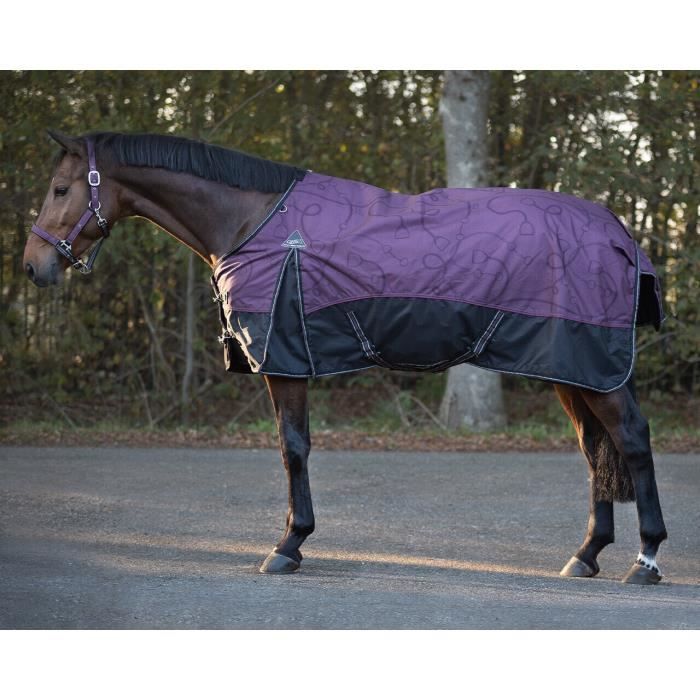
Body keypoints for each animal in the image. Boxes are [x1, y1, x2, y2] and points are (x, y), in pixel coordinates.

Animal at [23, 130, 668, 585]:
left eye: (60, 190)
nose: (34, 266)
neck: (250, 220)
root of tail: (620, 232)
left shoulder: (285, 360)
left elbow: (293, 449)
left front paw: (288, 546)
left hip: (593, 366)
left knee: (632, 440)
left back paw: (647, 559)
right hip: (570, 367)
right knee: (594, 449)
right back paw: (586, 555)